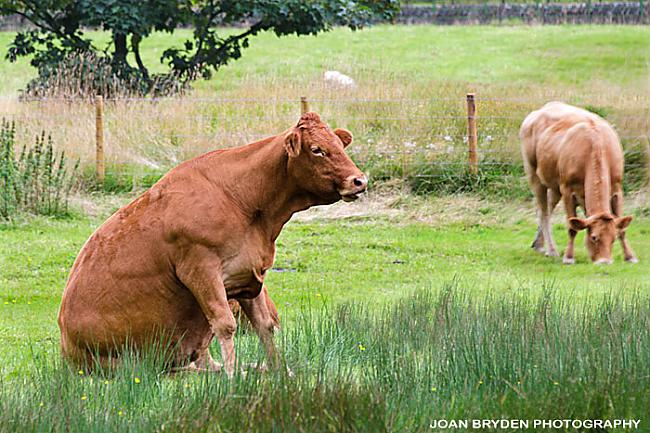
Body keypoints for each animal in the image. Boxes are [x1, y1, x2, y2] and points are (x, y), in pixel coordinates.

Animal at [58, 112, 368, 374]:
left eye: (340, 144)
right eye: (317, 149)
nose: (359, 181)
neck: (243, 201)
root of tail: (66, 342)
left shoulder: (247, 273)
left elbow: (264, 326)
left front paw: (280, 371)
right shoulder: (200, 269)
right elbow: (225, 324)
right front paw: (233, 378)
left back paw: (251, 368)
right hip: (131, 362)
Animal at [520, 101, 636, 264]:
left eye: (613, 239)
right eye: (594, 237)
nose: (604, 261)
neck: (596, 145)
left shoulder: (617, 187)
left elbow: (622, 228)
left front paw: (630, 256)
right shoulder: (568, 190)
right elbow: (572, 227)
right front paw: (569, 257)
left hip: (555, 185)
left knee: (547, 206)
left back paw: (539, 245)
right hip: (533, 174)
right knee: (544, 212)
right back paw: (551, 250)